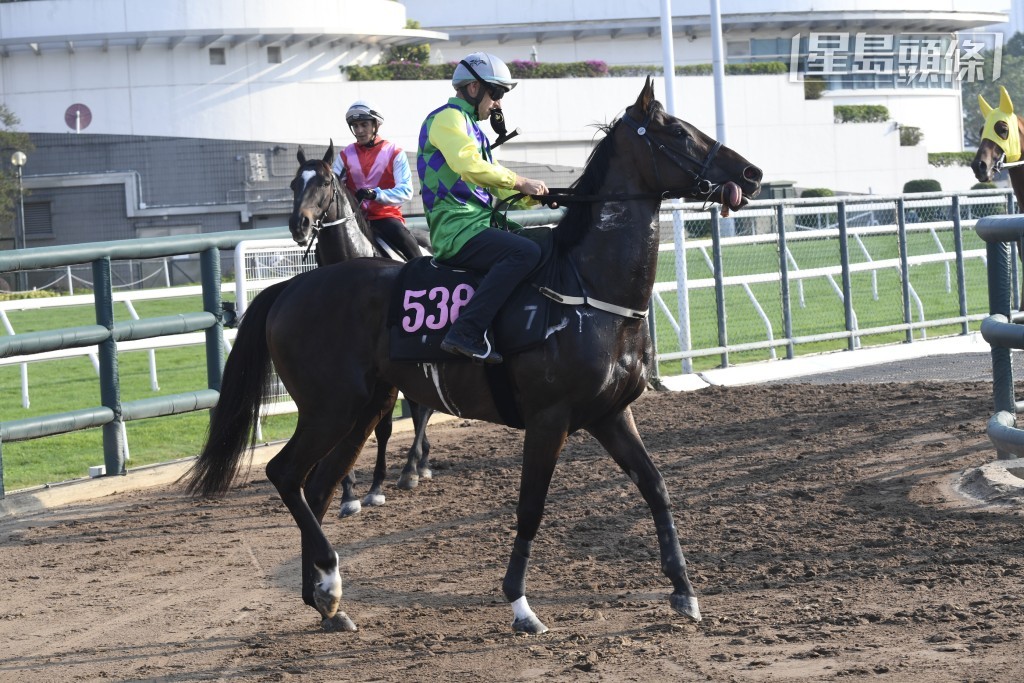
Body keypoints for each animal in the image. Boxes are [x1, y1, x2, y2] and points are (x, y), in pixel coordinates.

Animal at [286, 145, 434, 518]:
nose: (299, 224)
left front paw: (376, 488)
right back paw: (423, 463)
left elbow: (383, 428)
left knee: (422, 409)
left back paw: (411, 469)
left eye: (325, 181)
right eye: (294, 183)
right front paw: (348, 493)